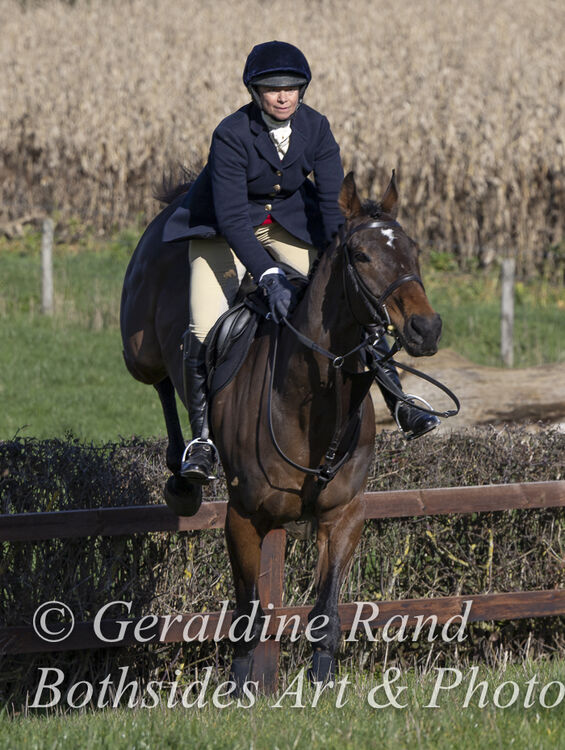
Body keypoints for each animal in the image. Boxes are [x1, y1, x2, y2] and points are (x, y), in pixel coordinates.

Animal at [120, 171, 443, 687]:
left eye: (413, 250)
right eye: (361, 255)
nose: (425, 328)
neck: (313, 406)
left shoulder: (343, 515)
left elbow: (325, 611)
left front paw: (322, 682)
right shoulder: (244, 517)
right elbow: (248, 612)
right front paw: (239, 687)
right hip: (142, 349)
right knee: (171, 372)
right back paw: (185, 471)